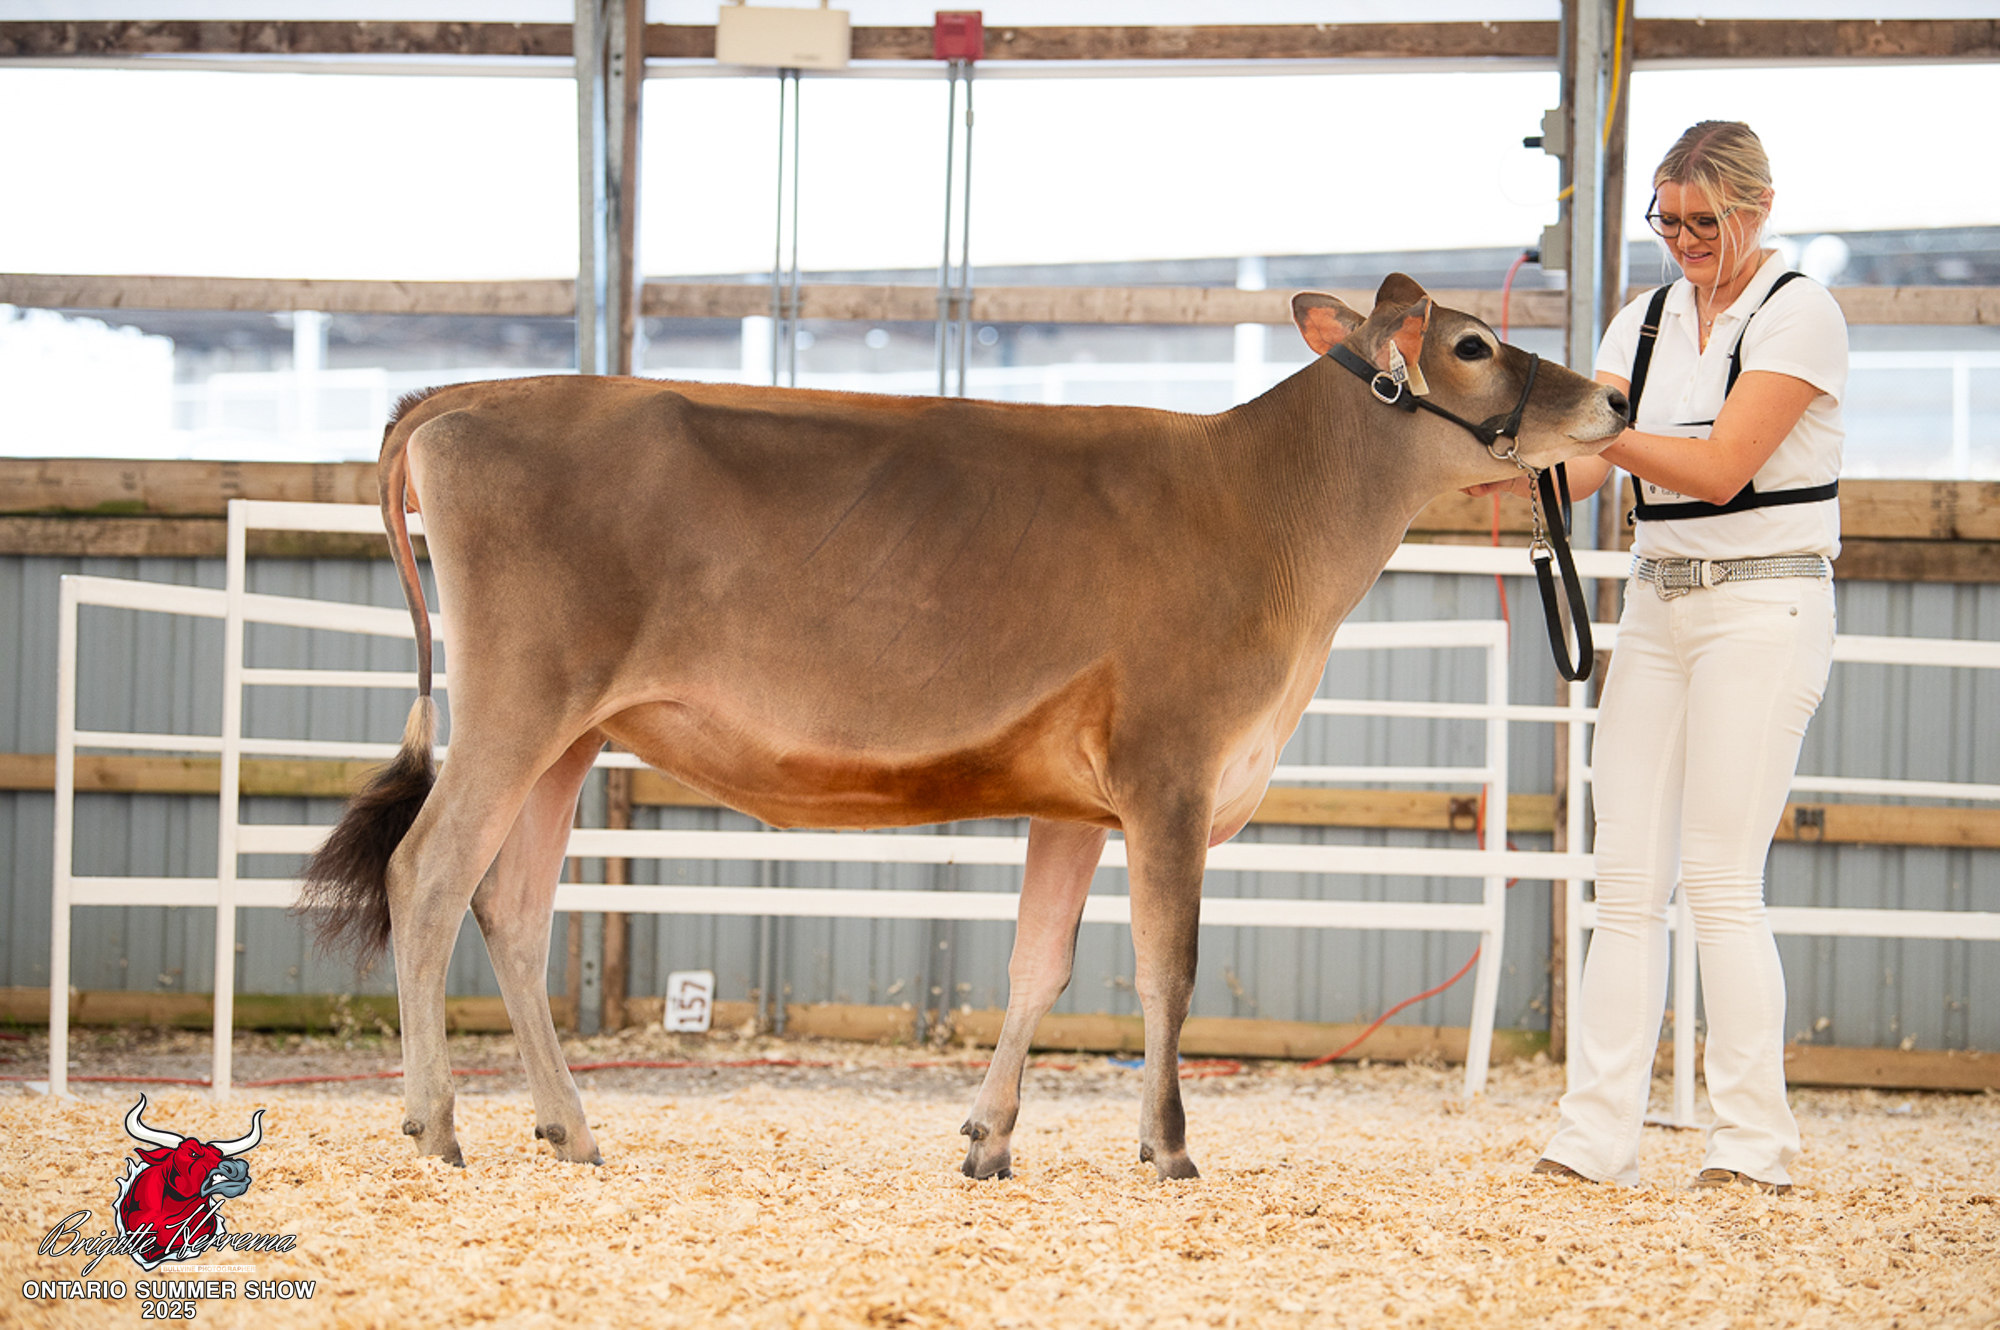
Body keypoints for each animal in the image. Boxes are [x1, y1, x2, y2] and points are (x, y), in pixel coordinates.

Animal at [300, 274, 1628, 1180]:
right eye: (1470, 343)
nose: (1615, 394)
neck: (1265, 507)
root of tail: (470, 395)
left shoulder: (1074, 802)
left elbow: (1038, 964)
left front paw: (988, 1138)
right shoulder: (1170, 772)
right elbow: (1167, 966)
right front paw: (1167, 1146)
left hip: (569, 732)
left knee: (512, 907)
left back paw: (568, 1126)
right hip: (519, 703)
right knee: (427, 874)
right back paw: (435, 1122)